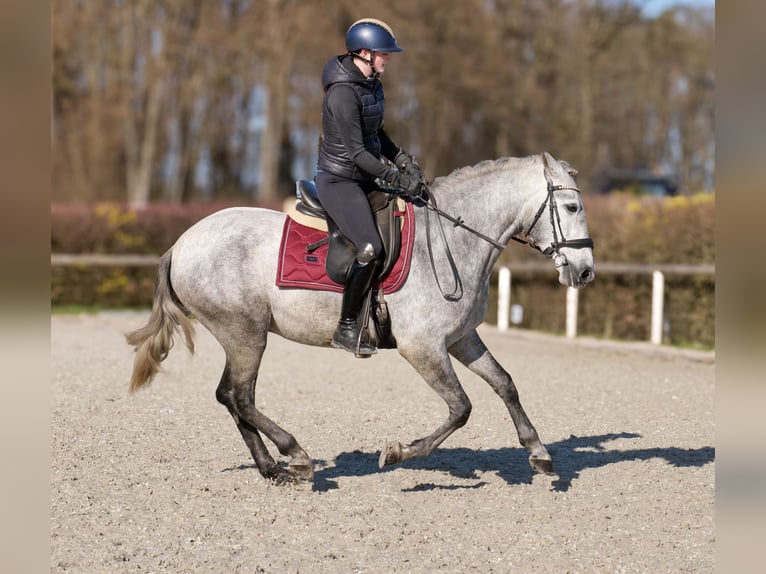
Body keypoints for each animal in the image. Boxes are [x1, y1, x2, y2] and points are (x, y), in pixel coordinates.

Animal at [126, 151, 595, 484]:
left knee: (232, 397)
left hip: (243, 337)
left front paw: (539, 452)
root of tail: (183, 242)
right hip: (245, 335)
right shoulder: (422, 347)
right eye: (572, 206)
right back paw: (295, 456)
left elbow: (505, 384)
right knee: (240, 397)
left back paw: (272, 469)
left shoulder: (461, 339)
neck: (453, 239)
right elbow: (461, 407)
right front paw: (399, 451)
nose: (586, 271)